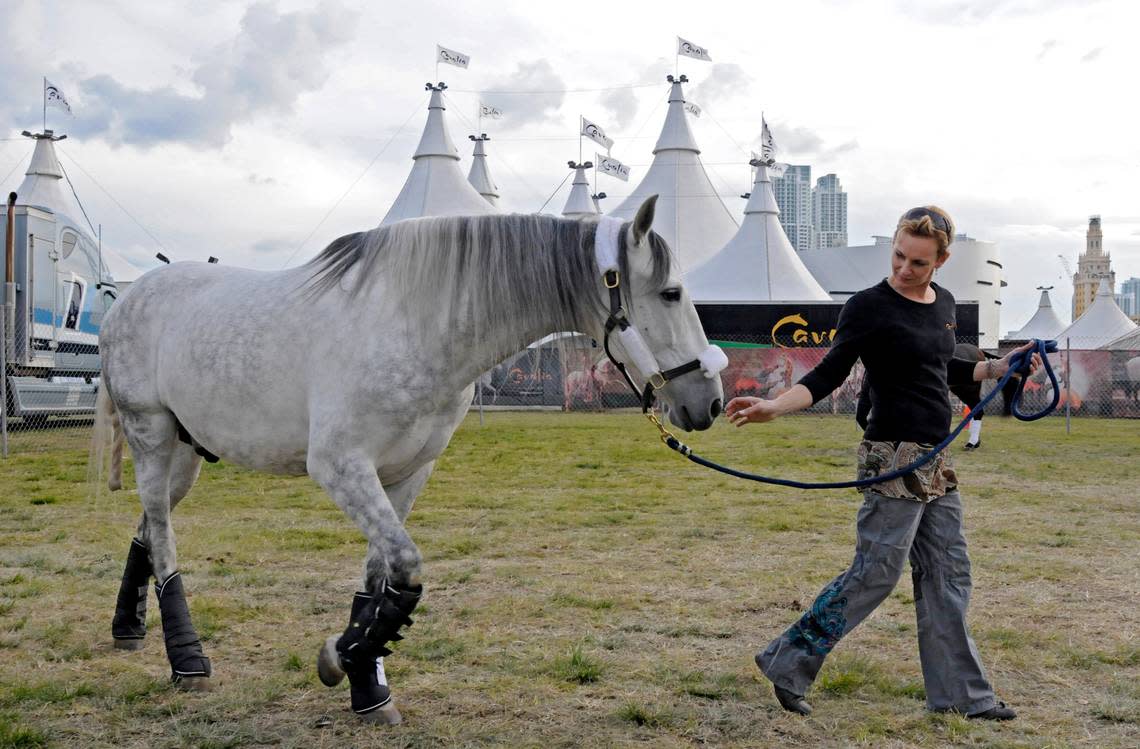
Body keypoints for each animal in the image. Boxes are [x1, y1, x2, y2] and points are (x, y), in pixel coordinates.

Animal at [93, 197, 725, 720]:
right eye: (671, 293)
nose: (710, 401)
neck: (416, 323)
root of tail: (128, 298)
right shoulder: (342, 468)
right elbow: (408, 569)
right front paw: (340, 658)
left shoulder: (404, 474)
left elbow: (380, 582)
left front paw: (364, 680)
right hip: (152, 438)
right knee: (164, 540)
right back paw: (187, 661)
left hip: (187, 454)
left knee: (146, 529)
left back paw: (129, 628)